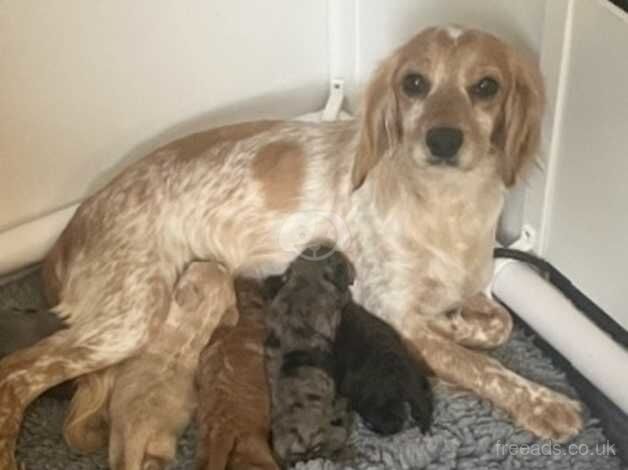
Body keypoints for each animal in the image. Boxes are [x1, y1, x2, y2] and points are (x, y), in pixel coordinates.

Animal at [63, 260, 237, 470]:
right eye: (212, 265)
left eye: (194, 267)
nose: (198, 260)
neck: (187, 332)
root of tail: (137, 436)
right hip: (119, 444)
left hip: (155, 443)